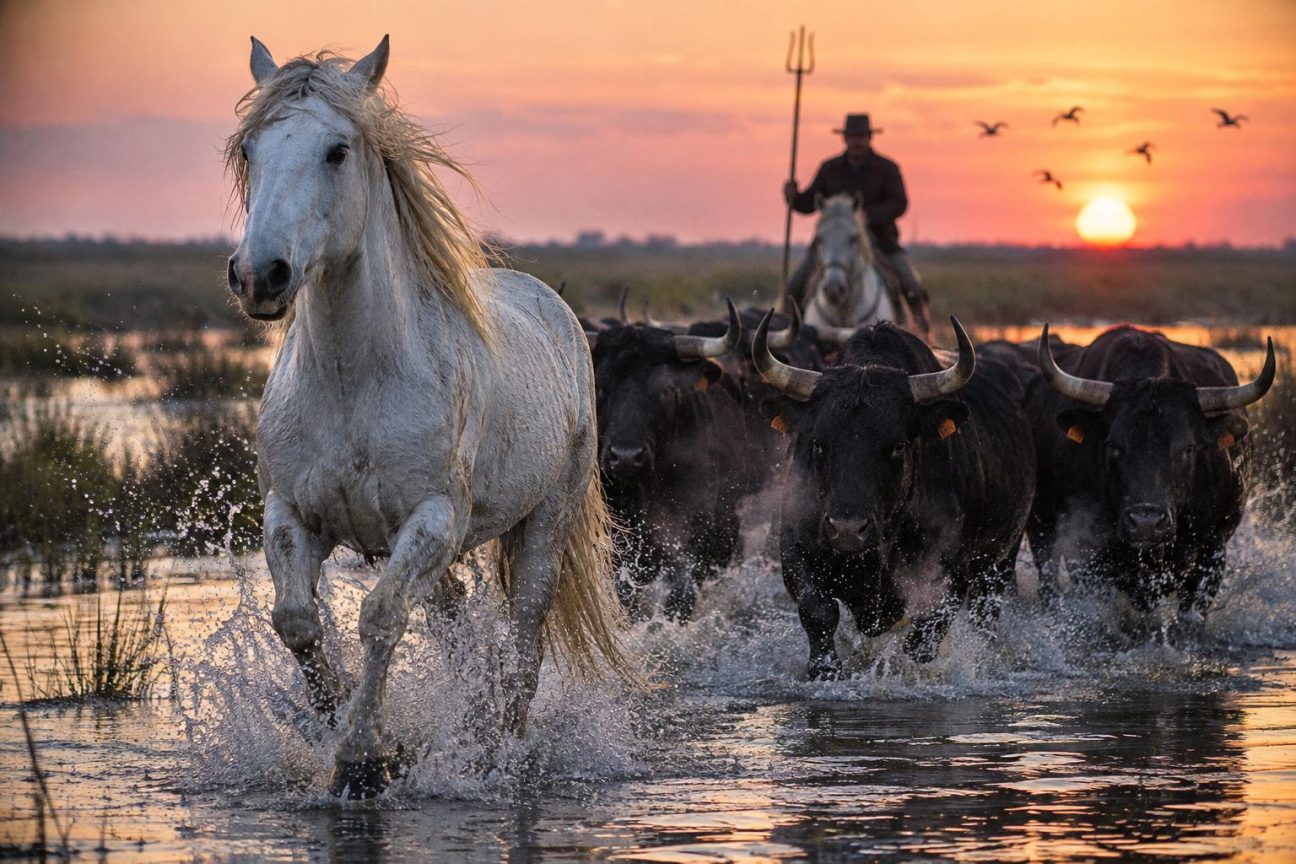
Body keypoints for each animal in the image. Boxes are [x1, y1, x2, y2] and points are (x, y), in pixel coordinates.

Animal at [225, 35, 629, 797]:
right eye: (250, 150)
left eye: (337, 151)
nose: (260, 275)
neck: (355, 382)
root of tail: (555, 308)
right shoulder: (295, 513)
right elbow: (296, 620)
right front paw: (347, 728)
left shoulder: (434, 518)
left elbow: (381, 617)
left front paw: (362, 761)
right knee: (456, 625)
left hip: (542, 524)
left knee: (523, 641)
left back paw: (501, 750)